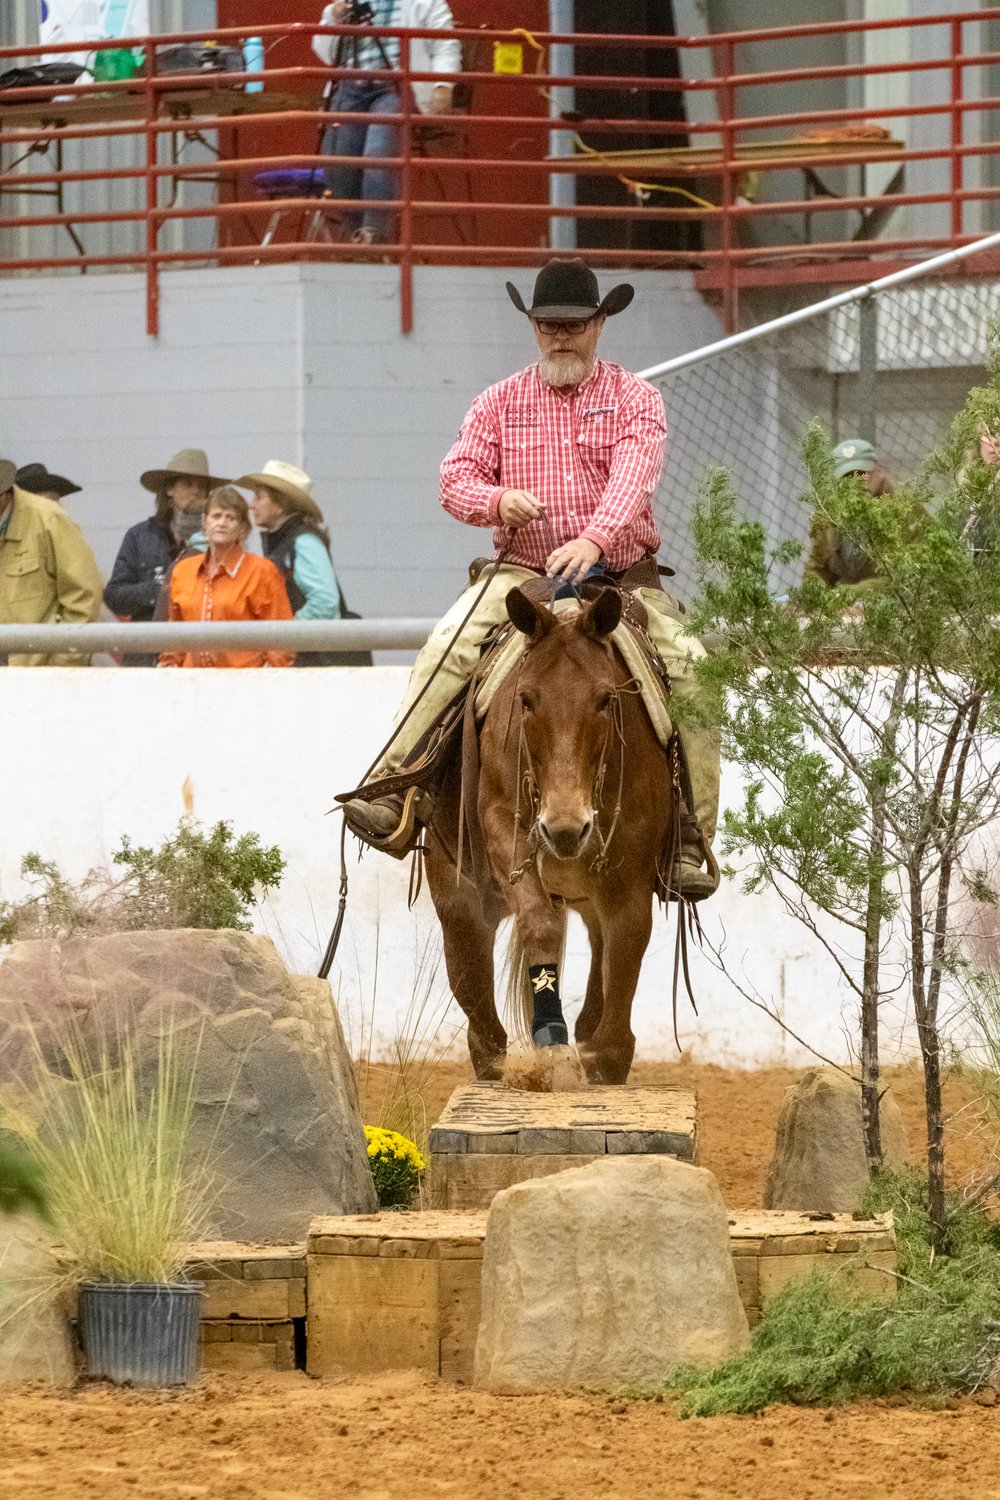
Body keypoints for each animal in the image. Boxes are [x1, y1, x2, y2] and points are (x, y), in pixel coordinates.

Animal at [425, 579, 677, 1086]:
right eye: (525, 699)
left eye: (605, 698)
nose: (566, 828)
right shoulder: (504, 826)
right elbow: (538, 921)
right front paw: (550, 1039)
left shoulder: (628, 885)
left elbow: (616, 1022)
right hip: (461, 912)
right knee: (486, 1038)